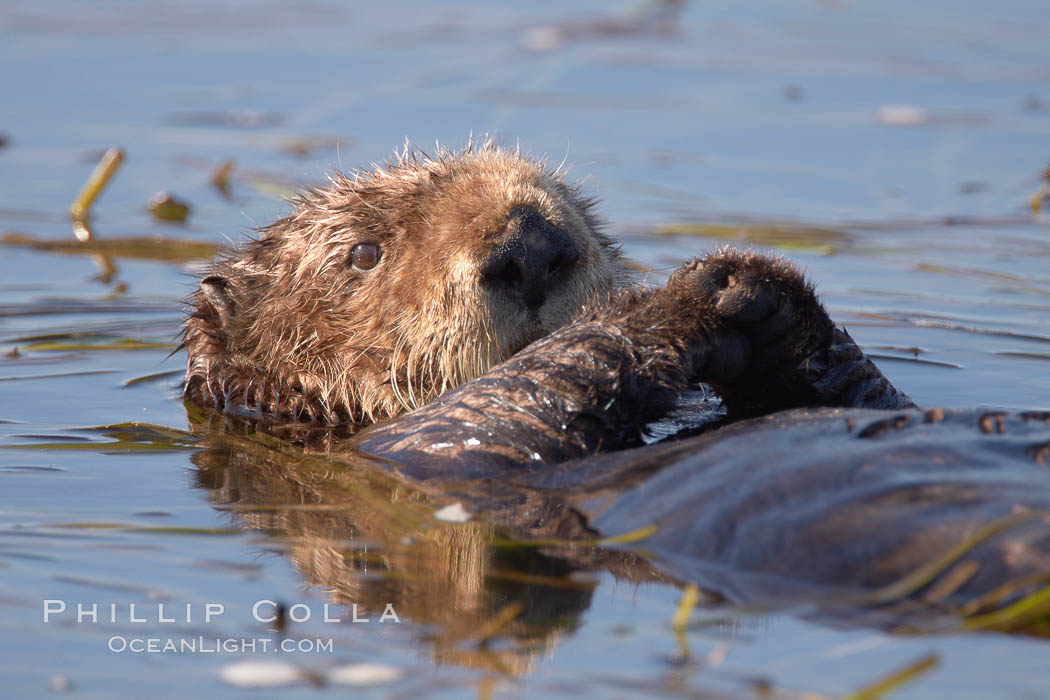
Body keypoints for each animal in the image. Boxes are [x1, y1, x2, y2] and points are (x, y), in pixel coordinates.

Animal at [184, 142, 1050, 613]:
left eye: (577, 205)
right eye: (362, 253)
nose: (532, 243)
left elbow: (871, 392)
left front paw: (757, 292)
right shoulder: (419, 454)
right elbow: (510, 400)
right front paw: (673, 300)